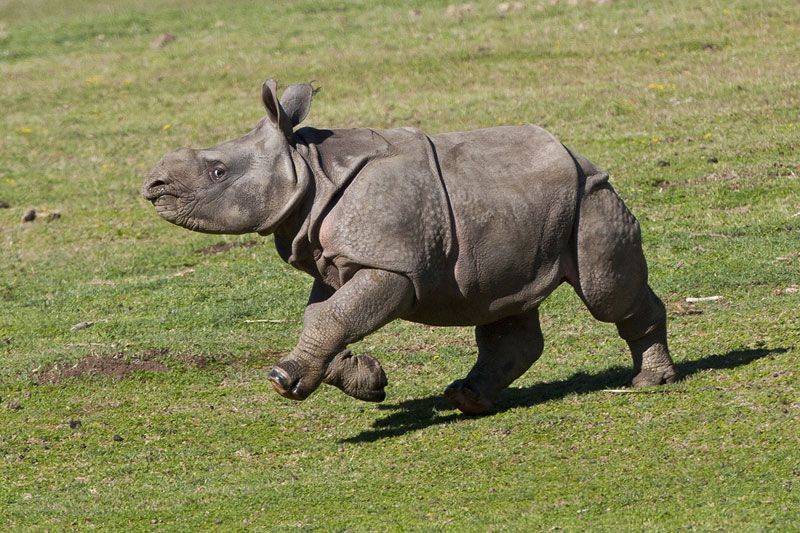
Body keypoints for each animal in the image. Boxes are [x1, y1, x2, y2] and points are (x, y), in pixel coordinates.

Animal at [144, 79, 676, 414]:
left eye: (218, 172)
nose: (153, 186)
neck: (310, 168)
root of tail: (581, 155)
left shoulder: (391, 266)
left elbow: (333, 316)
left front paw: (281, 379)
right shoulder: (337, 257)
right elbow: (327, 315)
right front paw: (367, 380)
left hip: (591, 196)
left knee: (607, 295)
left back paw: (651, 383)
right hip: (525, 209)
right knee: (502, 301)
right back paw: (467, 400)